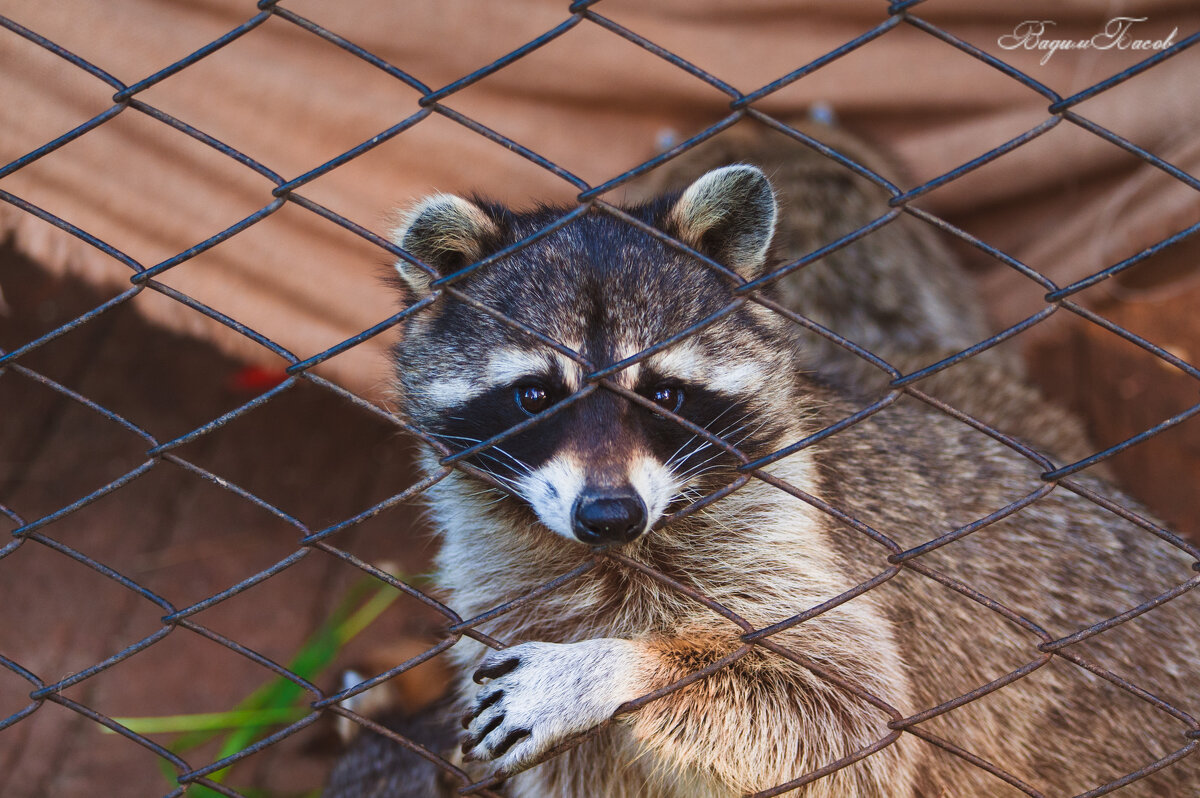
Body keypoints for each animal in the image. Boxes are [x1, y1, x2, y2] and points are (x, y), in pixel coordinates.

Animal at [336, 127, 1200, 792]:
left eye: (665, 395)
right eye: (536, 396)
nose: (610, 514)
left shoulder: (791, 536)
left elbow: (850, 716)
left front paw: (619, 668)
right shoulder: (506, 594)